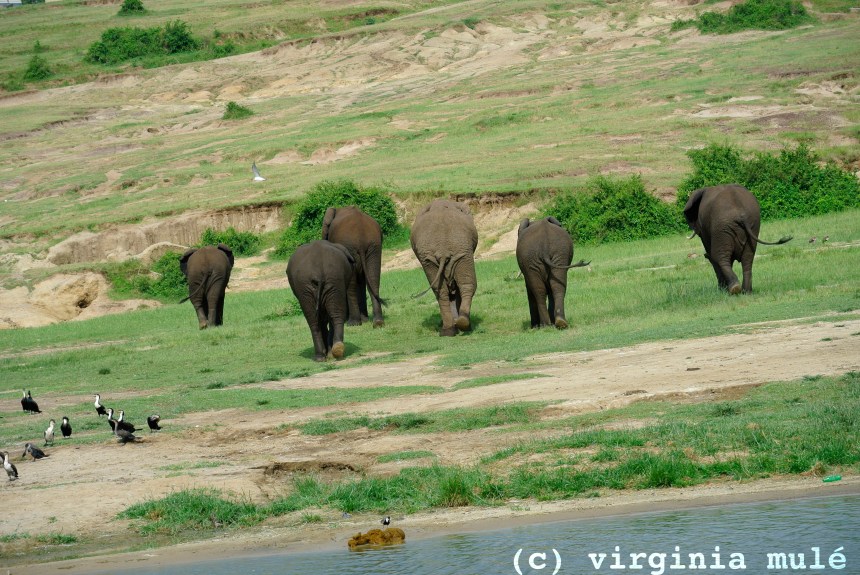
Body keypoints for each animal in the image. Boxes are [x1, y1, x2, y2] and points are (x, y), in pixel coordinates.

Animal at [410, 199, 478, 336]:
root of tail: (443, 250)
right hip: (459, 251)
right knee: (466, 285)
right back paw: (461, 325)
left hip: (440, 256)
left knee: (443, 290)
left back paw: (453, 328)